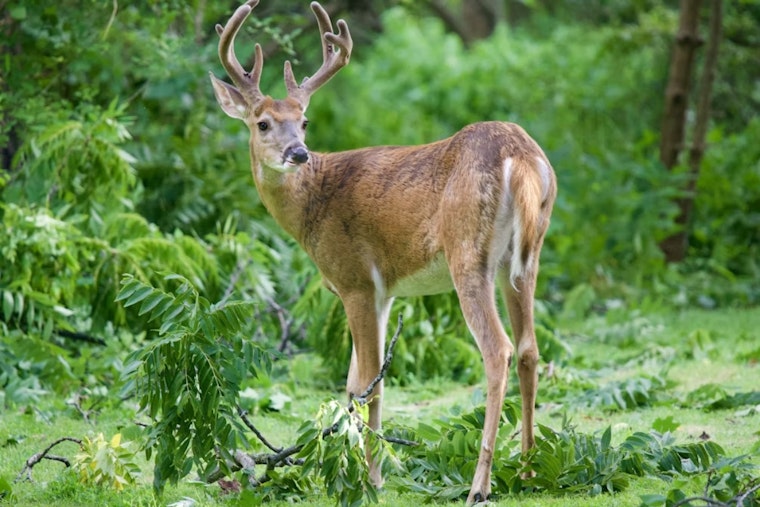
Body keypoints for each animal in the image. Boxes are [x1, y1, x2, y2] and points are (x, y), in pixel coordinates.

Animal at [209, 1, 556, 503]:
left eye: (304, 121)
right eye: (264, 122)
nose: (298, 153)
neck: (314, 204)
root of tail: (523, 157)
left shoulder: (354, 279)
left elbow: (369, 381)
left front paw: (370, 478)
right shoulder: (385, 290)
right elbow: (362, 382)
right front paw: (358, 469)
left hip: (468, 254)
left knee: (499, 350)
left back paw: (480, 485)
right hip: (526, 255)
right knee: (530, 348)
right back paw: (528, 470)